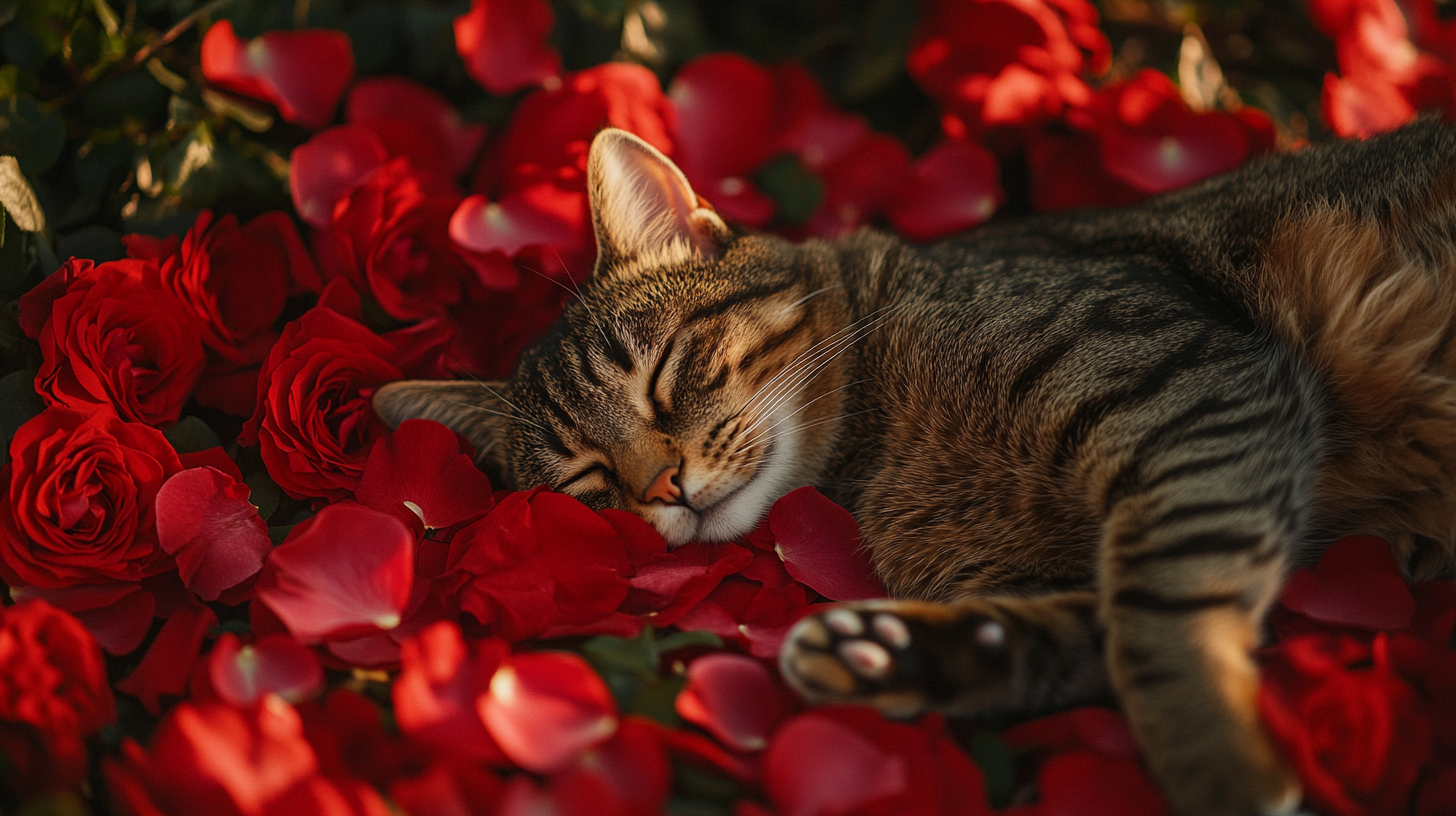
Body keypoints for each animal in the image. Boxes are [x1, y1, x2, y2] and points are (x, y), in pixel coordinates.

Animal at [372, 120, 1456, 816]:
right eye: (588, 481)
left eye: (666, 378)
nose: (662, 487)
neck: (881, 449)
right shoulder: (1064, 552)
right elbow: (1076, 631)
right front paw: (889, 652)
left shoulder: (1184, 393)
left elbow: (1163, 622)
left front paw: (1217, 767)